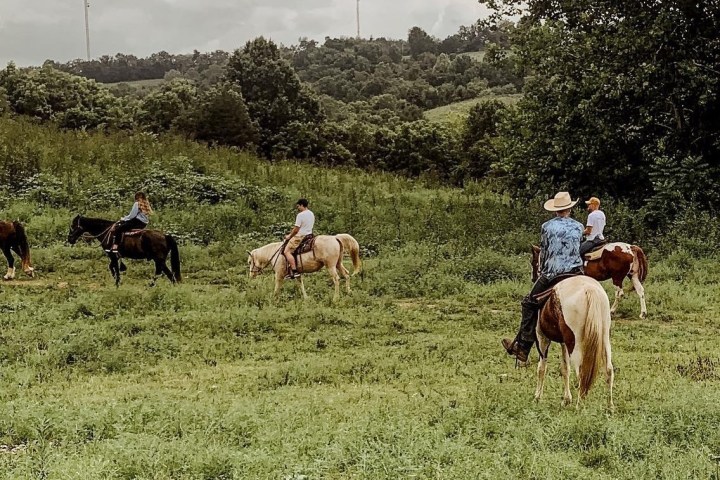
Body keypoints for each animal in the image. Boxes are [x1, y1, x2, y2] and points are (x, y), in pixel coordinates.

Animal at [536, 276, 612, 406]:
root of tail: (589, 289)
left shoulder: (542, 338)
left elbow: (542, 367)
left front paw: (537, 397)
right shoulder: (564, 342)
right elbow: (565, 368)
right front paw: (566, 399)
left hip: (574, 344)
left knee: (581, 372)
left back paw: (579, 406)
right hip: (604, 337)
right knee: (609, 369)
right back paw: (610, 406)